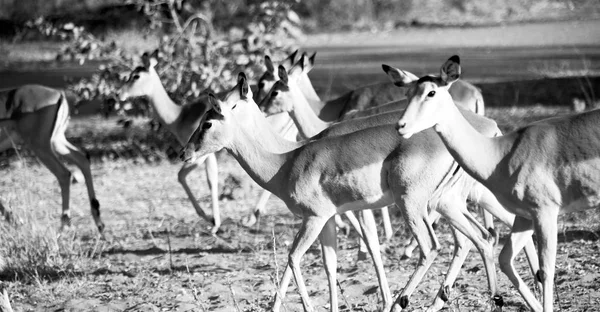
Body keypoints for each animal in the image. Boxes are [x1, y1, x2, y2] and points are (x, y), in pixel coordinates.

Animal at [0, 85, 103, 232]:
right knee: (82, 158)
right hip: (56, 141)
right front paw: (15, 221)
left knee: (64, 173)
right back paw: (98, 222)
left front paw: (16, 221)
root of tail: (58, 93)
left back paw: (64, 225)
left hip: (40, 146)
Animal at [180, 71, 536, 312]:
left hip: (416, 204)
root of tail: (490, 127)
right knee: (486, 237)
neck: (286, 160)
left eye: (208, 123)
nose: (184, 153)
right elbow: (330, 263)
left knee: (436, 246)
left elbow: (295, 257)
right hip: (453, 202)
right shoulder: (328, 220)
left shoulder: (316, 217)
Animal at [394, 54, 600, 310]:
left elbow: (546, 270)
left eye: (431, 92)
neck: (501, 153)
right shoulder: (525, 217)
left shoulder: (546, 213)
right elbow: (505, 260)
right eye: (408, 92)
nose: (401, 126)